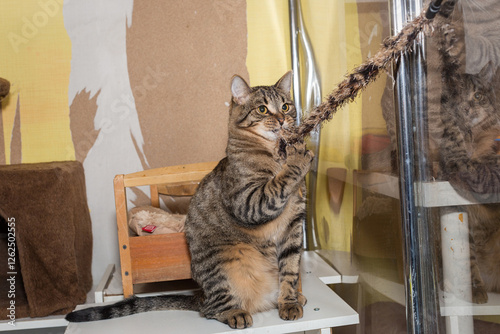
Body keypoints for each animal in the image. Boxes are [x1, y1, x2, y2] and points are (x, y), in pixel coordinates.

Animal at [66, 71, 312, 328]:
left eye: (285, 106)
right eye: (263, 109)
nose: (282, 120)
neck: (274, 153)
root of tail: (201, 296)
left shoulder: (294, 225)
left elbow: (290, 270)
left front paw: (289, 302)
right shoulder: (247, 202)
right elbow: (277, 184)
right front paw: (298, 156)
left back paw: (289, 298)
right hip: (224, 262)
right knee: (213, 309)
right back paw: (235, 313)